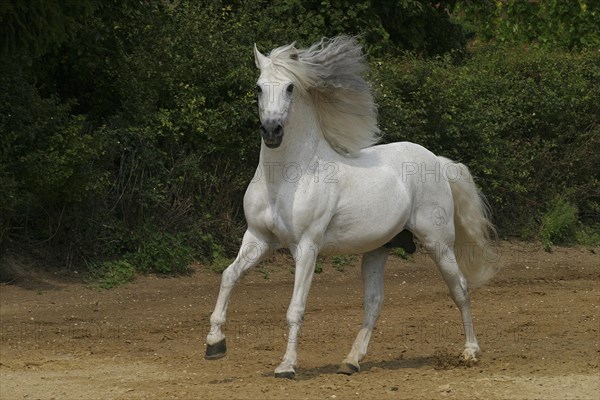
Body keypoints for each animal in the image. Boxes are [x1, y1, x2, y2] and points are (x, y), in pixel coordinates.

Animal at [204, 36, 500, 378]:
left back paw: (470, 352)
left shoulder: (306, 246)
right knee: (374, 302)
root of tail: (437, 162)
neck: (288, 177)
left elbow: (295, 308)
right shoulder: (258, 238)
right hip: (378, 249)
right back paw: (351, 361)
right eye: (258, 87)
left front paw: (287, 366)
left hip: (438, 242)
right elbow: (228, 276)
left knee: (460, 288)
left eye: (290, 87)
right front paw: (214, 344)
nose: (272, 131)